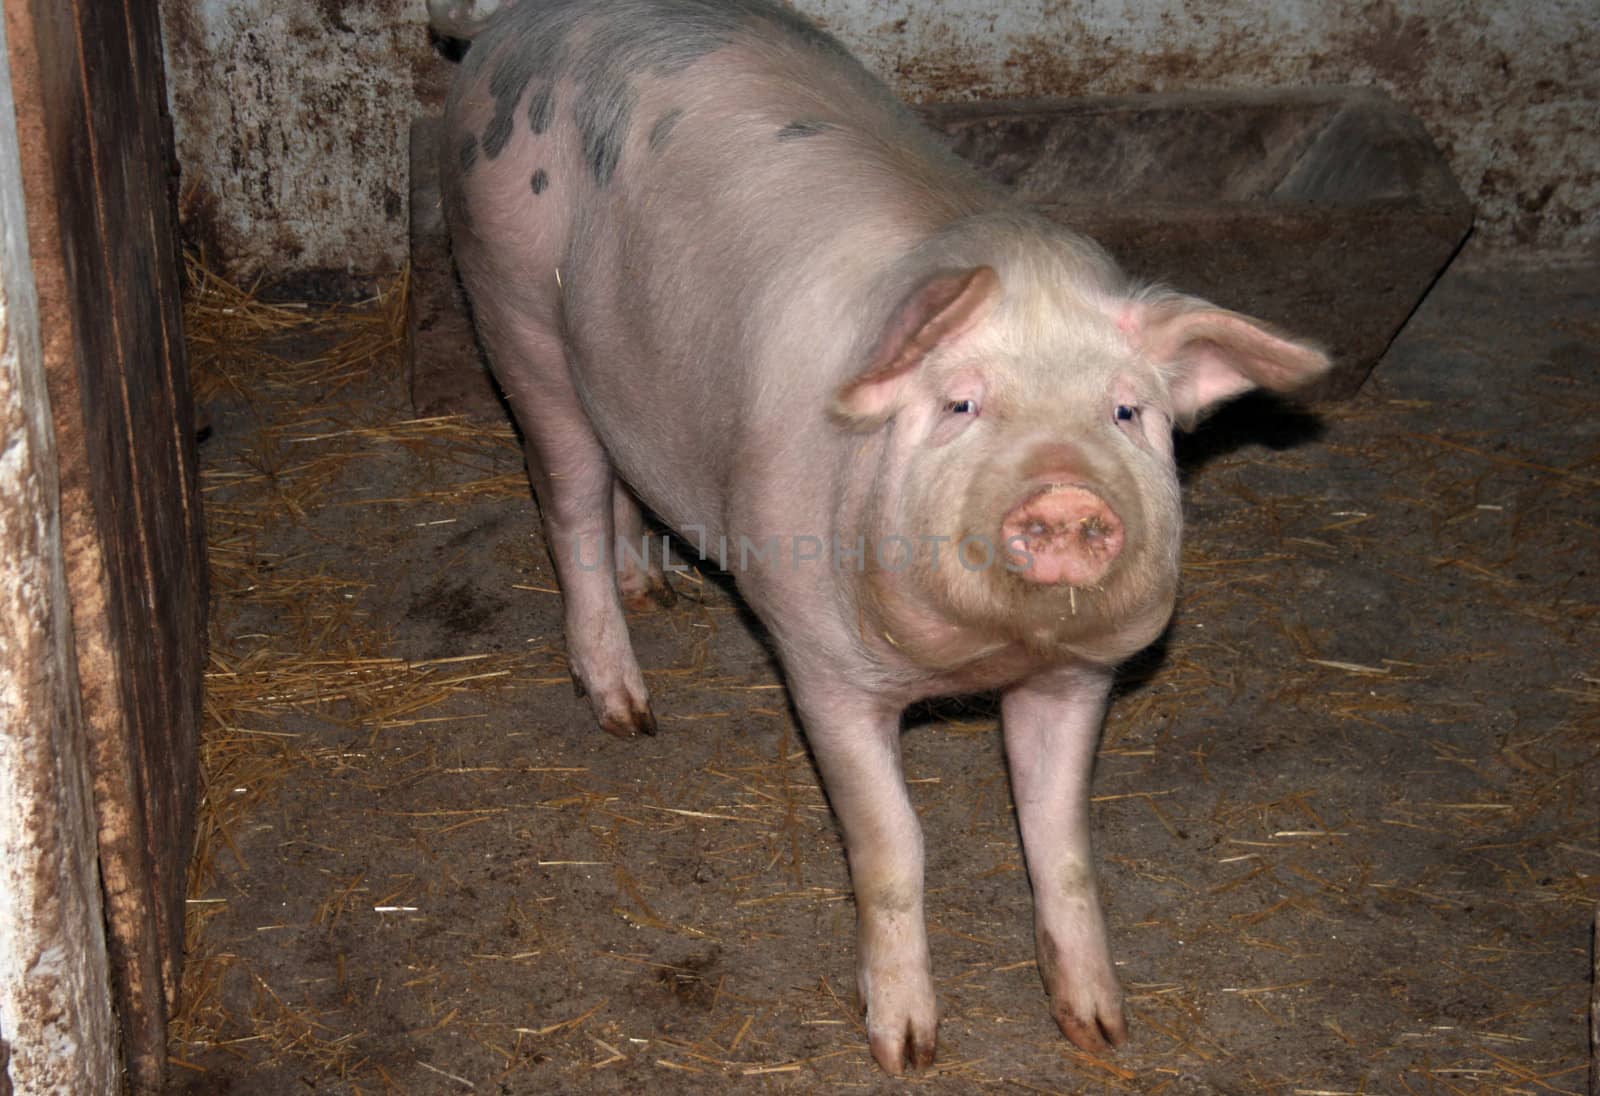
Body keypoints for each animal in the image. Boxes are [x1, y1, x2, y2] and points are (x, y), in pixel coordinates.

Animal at [441, 0, 1337, 1068]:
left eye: (1127, 411)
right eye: (959, 404)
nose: (1066, 495)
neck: (986, 655)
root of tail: (509, 27)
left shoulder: (1079, 674)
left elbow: (1063, 844)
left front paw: (1100, 1030)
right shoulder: (822, 666)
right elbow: (892, 844)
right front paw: (906, 1049)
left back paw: (654, 587)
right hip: (515, 307)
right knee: (567, 496)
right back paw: (628, 712)